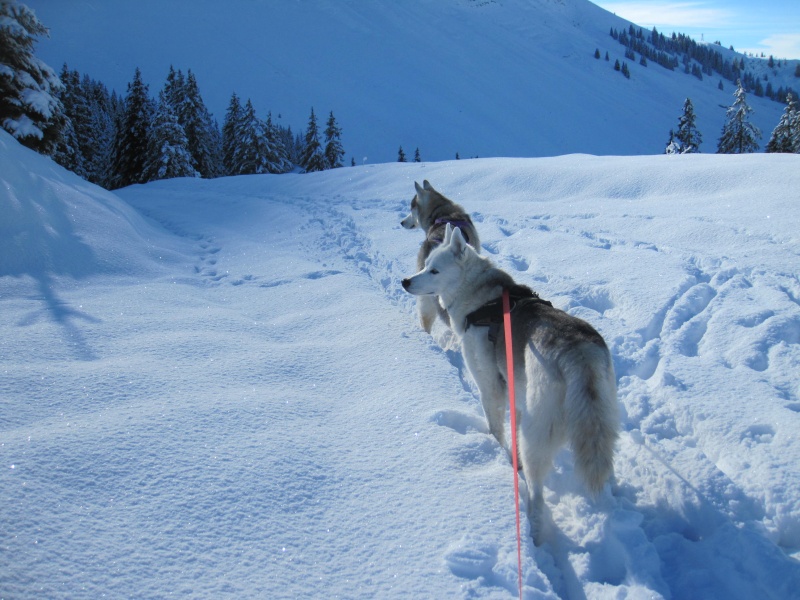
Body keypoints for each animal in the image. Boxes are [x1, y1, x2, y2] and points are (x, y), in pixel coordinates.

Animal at [404, 224, 620, 540]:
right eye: (426, 265)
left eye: (434, 270)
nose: (405, 281)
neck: (482, 300)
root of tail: (577, 353)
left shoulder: (491, 387)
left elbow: (496, 428)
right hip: (601, 425)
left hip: (537, 436)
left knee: (537, 494)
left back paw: (533, 529)